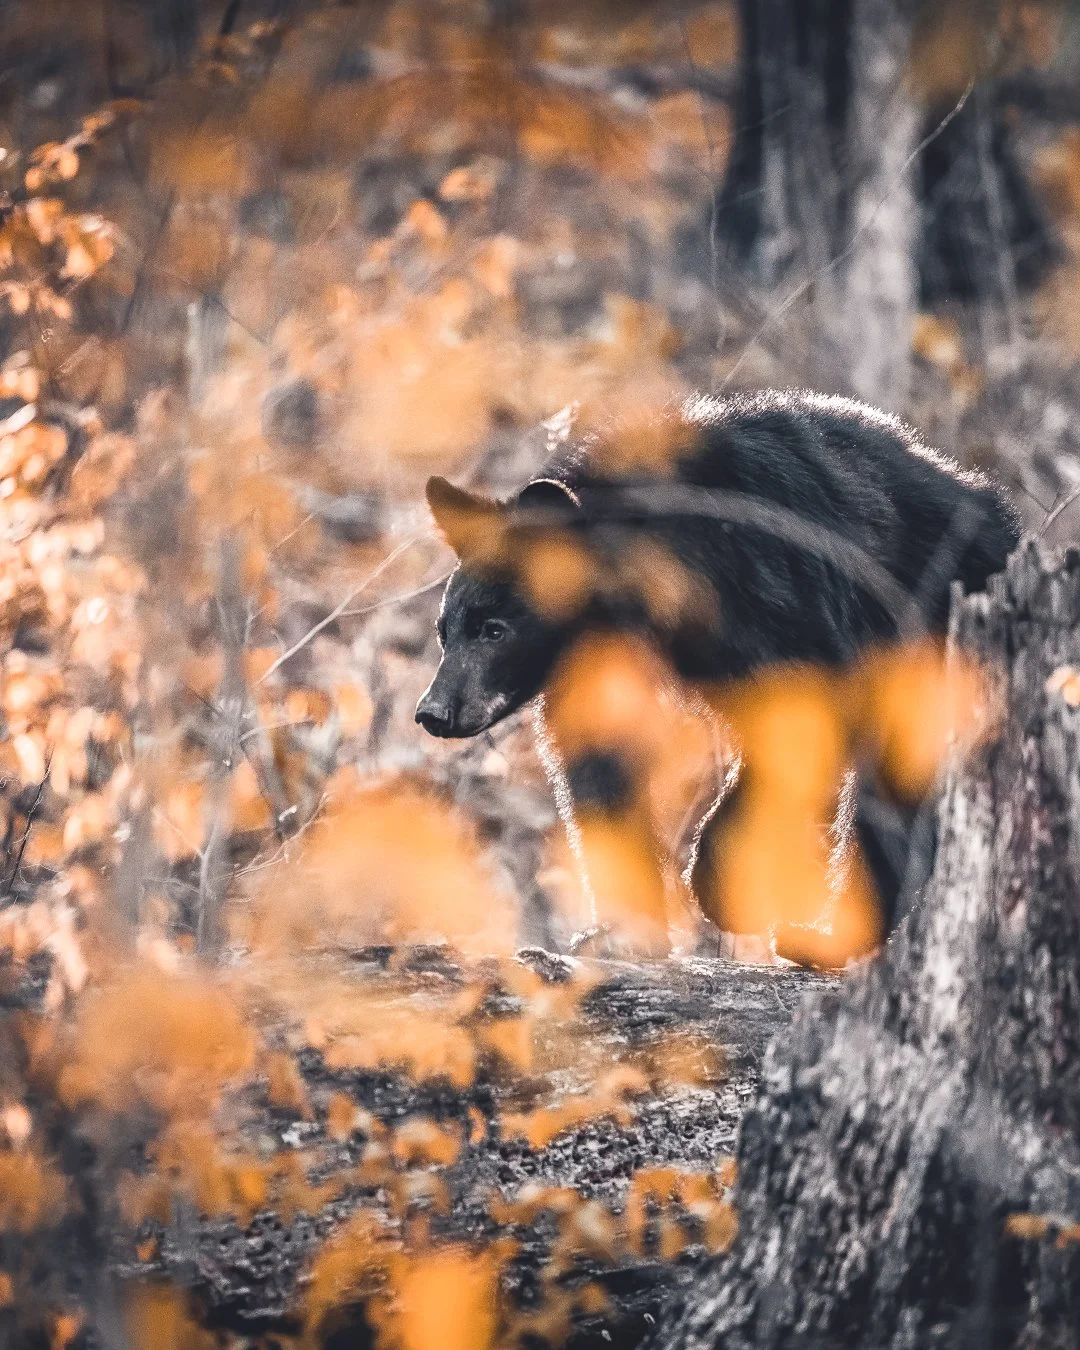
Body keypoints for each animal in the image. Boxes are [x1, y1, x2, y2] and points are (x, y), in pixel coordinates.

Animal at [415, 389, 1020, 961]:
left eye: (494, 630)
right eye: (446, 631)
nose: (434, 712)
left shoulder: (776, 595)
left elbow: (801, 716)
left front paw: (717, 885)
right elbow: (599, 767)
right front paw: (624, 934)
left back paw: (826, 937)